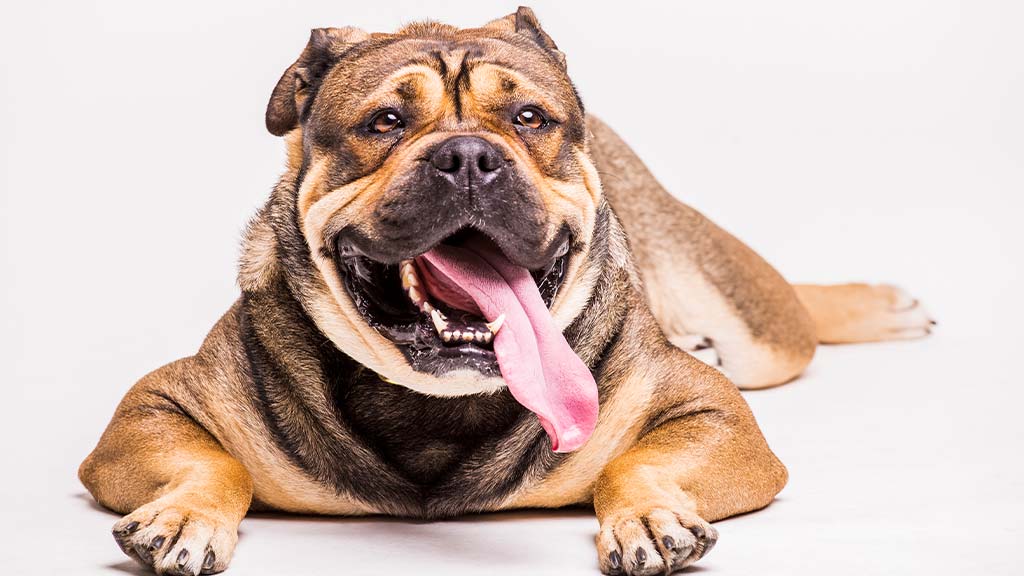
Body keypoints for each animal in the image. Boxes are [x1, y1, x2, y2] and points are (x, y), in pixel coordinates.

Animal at [77, 8, 929, 573]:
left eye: (529, 117)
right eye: (384, 121)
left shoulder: (720, 416)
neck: (433, 404)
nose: (467, 156)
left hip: (754, 332)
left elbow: (634, 461)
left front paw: (649, 517)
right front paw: (184, 517)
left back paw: (880, 304)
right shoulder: (150, 409)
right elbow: (214, 463)